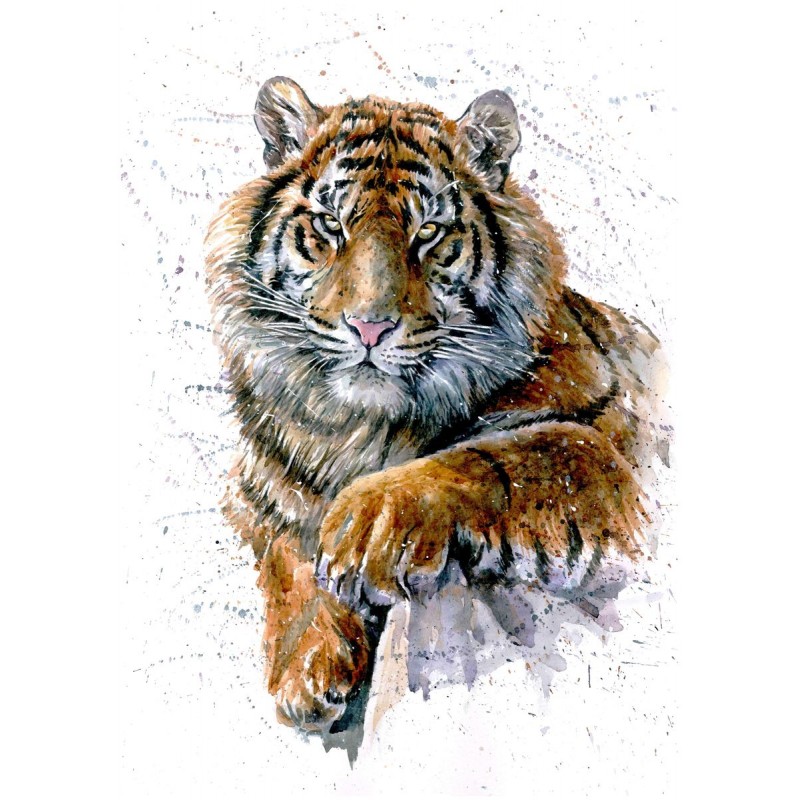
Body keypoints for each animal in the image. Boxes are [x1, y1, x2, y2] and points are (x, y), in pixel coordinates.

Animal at [205, 76, 666, 734]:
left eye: (427, 233)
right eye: (330, 225)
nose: (369, 328)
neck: (360, 428)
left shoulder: (605, 445)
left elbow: (494, 456)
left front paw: (366, 526)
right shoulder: (259, 492)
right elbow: (283, 555)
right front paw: (305, 669)